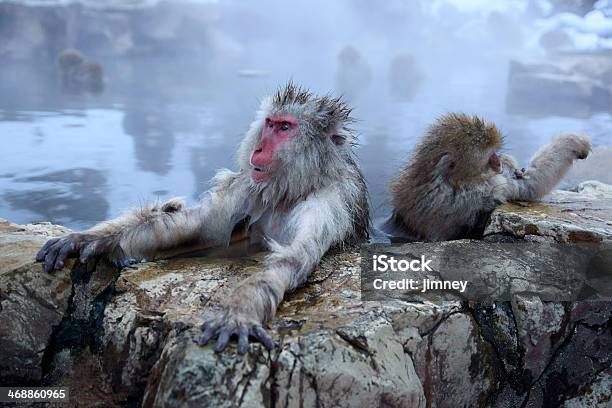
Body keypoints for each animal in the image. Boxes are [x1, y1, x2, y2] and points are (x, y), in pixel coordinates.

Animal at [37, 83, 368, 354]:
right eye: (270, 124)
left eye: (285, 127)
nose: (259, 147)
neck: (295, 189)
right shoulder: (248, 187)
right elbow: (199, 227)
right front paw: (87, 239)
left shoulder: (329, 204)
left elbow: (294, 257)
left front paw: (238, 311)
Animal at [390, 113, 592, 241]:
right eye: (489, 157)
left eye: (495, 152)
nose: (498, 162)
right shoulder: (486, 188)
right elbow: (528, 186)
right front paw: (574, 142)